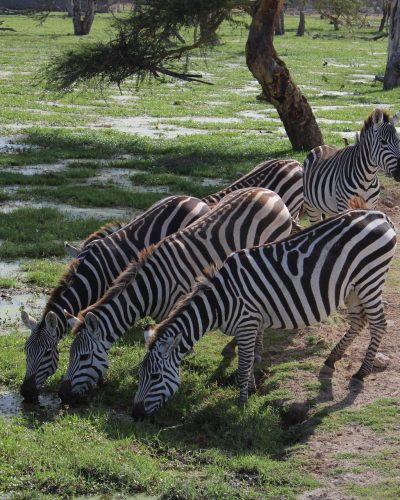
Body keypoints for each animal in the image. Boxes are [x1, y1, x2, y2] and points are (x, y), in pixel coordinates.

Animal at [57, 188, 292, 402]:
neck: (149, 287)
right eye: (70, 354)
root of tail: (267, 191)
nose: (63, 394)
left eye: (84, 356)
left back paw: (257, 351)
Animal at [133, 207, 396, 418]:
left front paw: (241, 403)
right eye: (139, 374)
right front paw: (250, 390)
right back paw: (332, 359)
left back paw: (361, 373)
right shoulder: (251, 324)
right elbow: (248, 361)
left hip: (370, 279)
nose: (136, 415)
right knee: (358, 321)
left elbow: (243, 364)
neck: (219, 302)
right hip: (353, 287)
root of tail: (379, 215)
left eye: (155, 377)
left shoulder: (248, 322)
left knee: (379, 324)